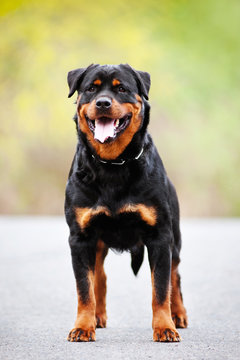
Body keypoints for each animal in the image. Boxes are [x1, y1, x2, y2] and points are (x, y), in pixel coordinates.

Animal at [65, 64, 188, 344]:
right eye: (91, 88)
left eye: (121, 89)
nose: (102, 102)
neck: (113, 165)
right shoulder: (80, 238)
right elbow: (84, 288)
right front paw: (83, 326)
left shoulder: (160, 236)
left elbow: (160, 289)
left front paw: (164, 327)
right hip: (97, 243)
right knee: (99, 276)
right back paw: (97, 317)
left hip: (175, 238)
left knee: (175, 276)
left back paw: (178, 315)